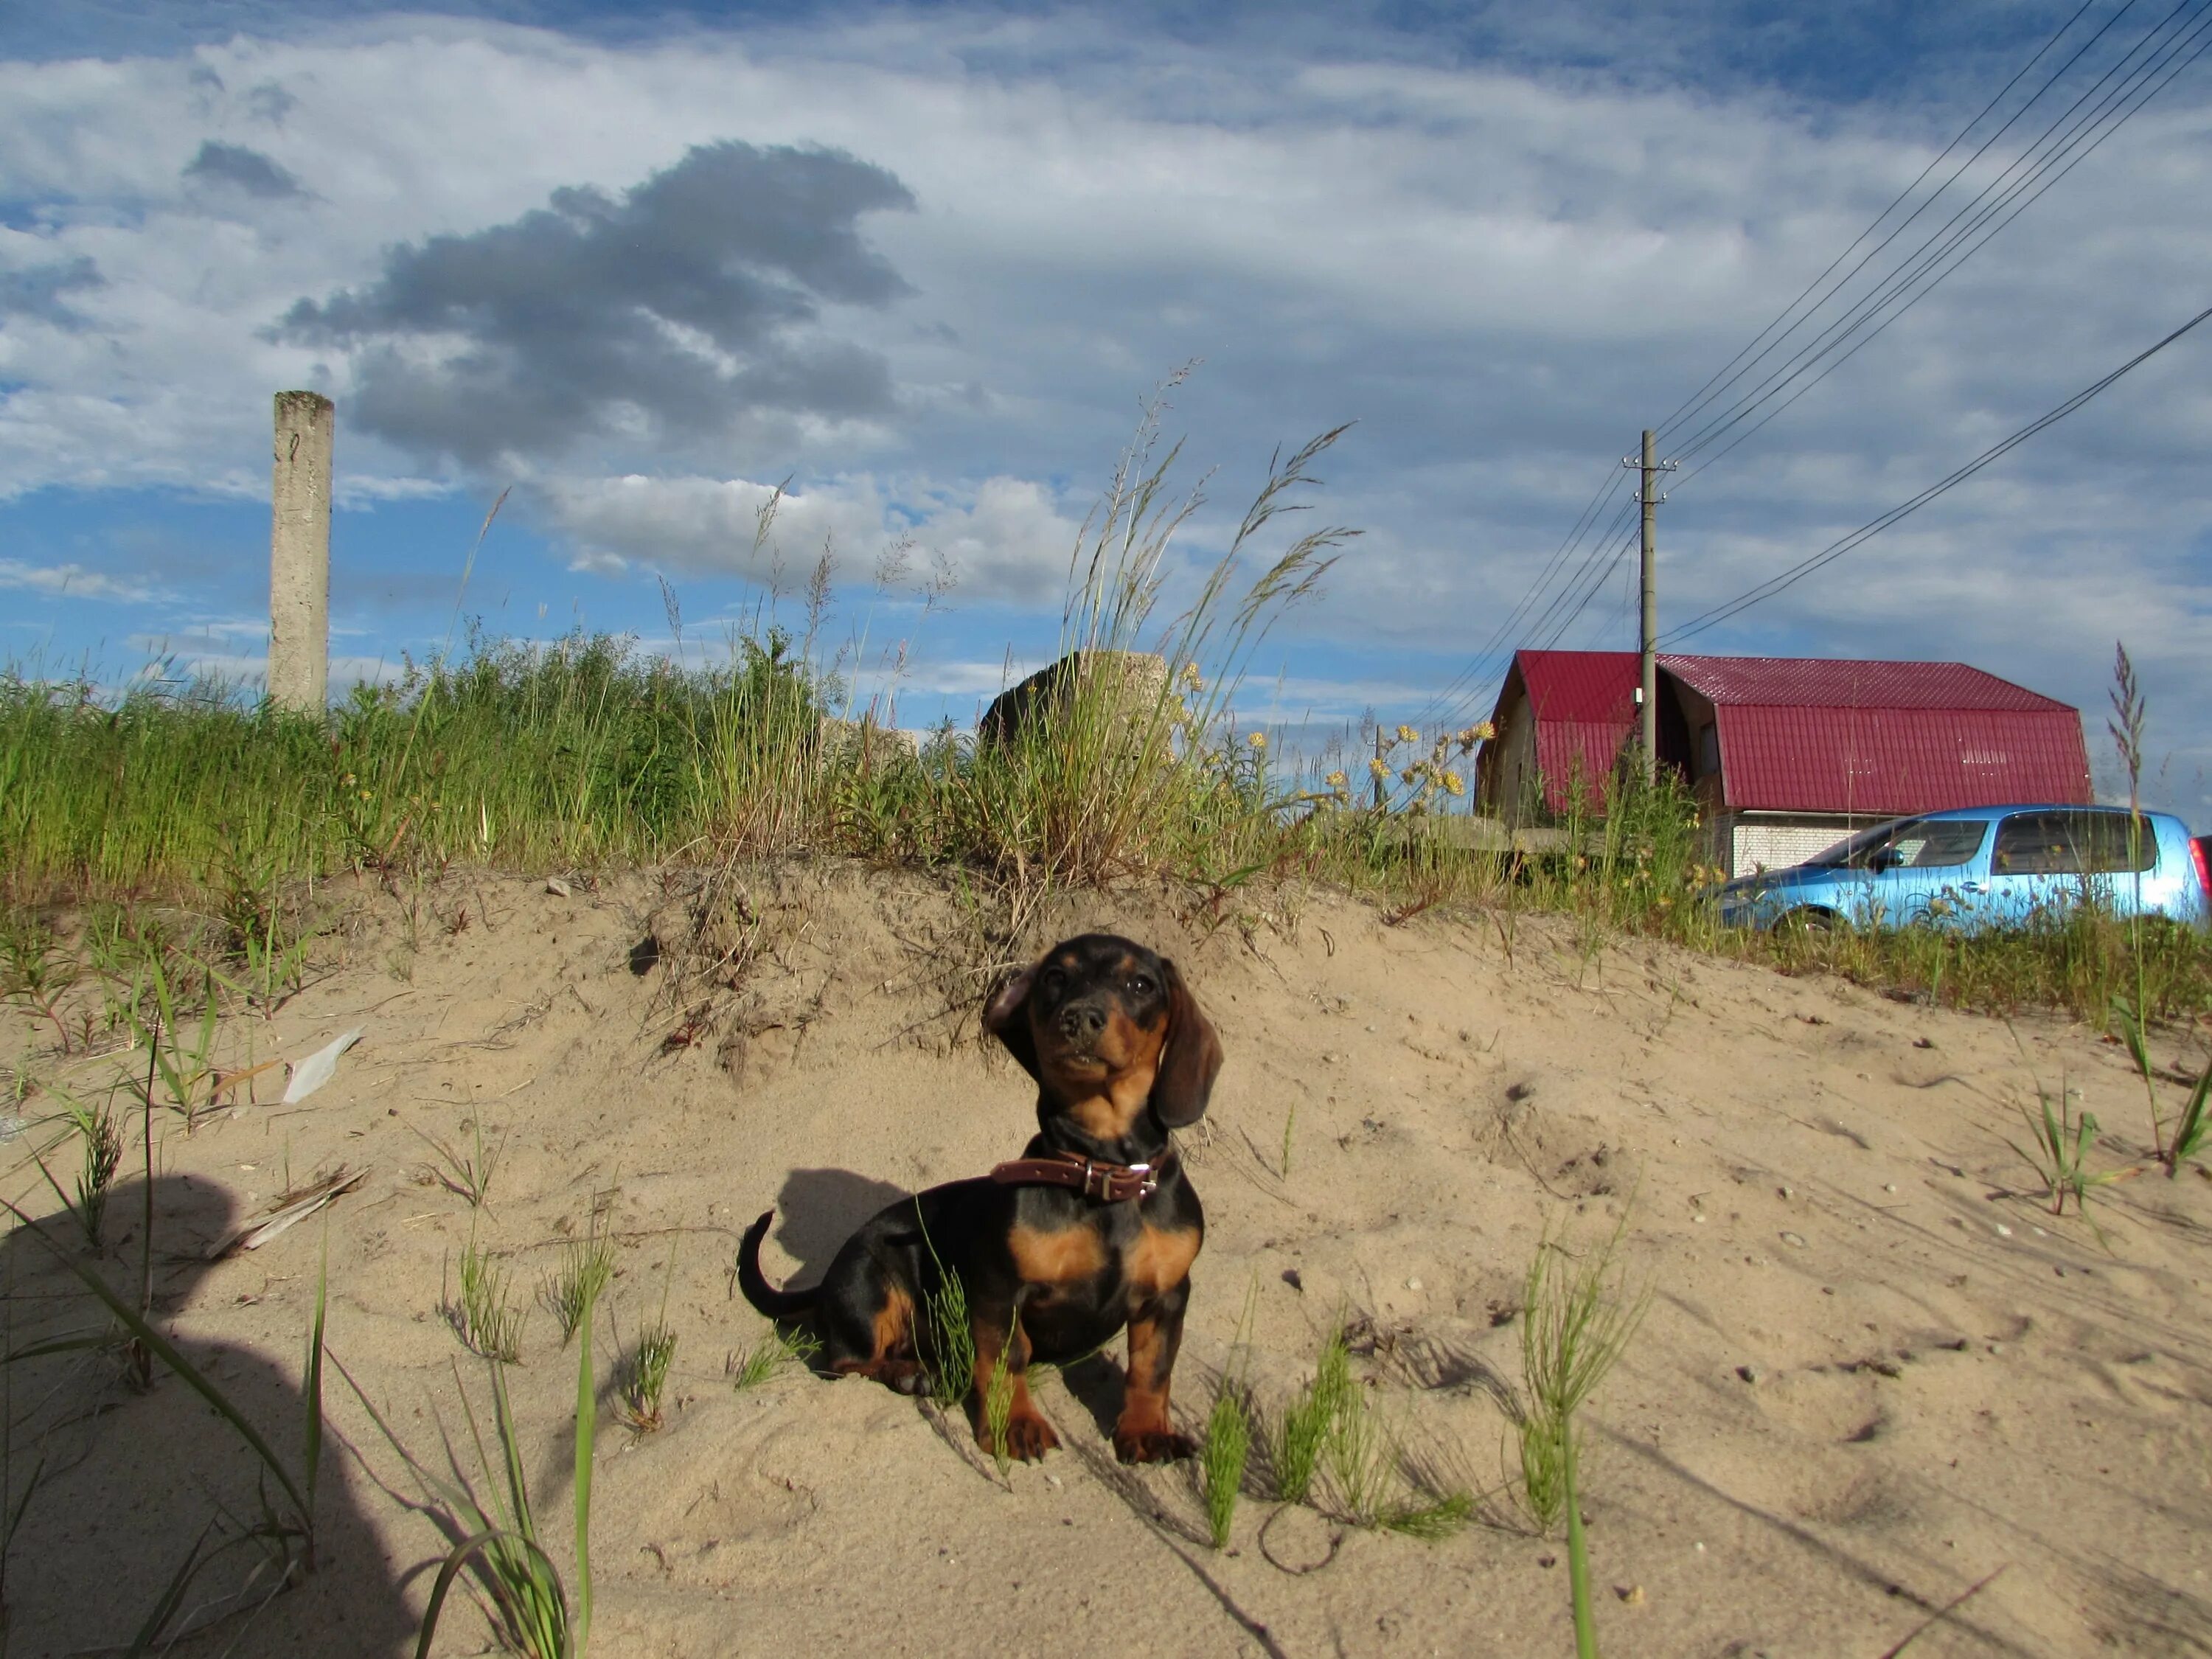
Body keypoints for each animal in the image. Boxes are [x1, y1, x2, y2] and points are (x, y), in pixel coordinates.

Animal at [734, 938, 1221, 1469]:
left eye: (1141, 984)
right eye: (1056, 977)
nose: (1079, 1018)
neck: (1101, 1173)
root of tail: (823, 1283)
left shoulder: (1167, 1296)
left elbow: (1152, 1370)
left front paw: (1147, 1430)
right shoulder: (1000, 1292)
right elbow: (1008, 1360)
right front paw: (1016, 1425)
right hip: (868, 1287)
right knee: (845, 1360)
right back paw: (909, 1372)